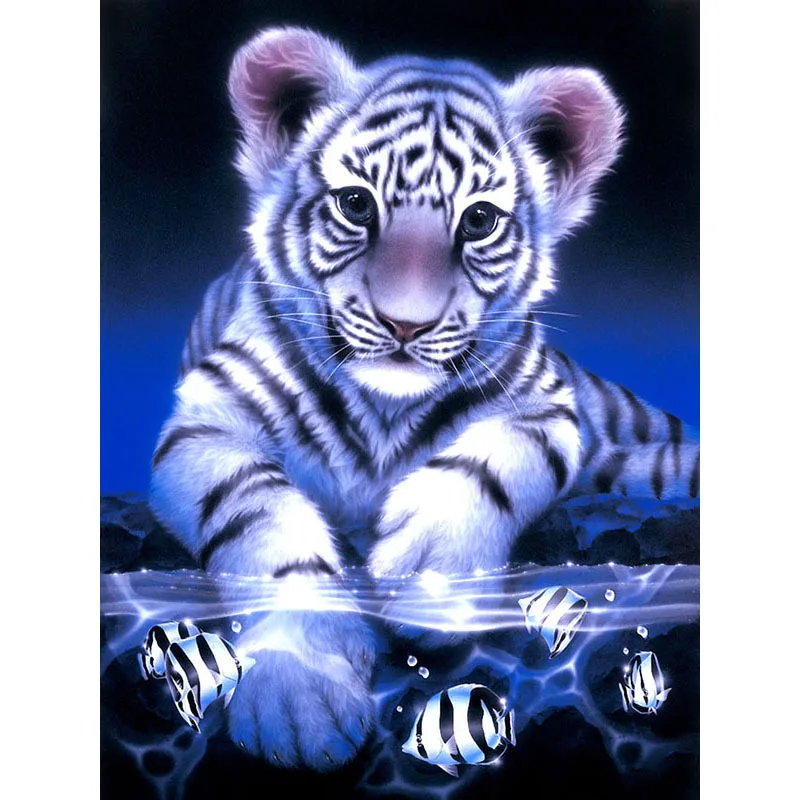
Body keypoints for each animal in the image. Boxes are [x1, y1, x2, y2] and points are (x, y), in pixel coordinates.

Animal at [149, 27, 699, 770]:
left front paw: (432, 578)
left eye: (480, 220)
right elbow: (260, 519)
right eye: (357, 205)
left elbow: (492, 461)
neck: (385, 411)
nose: (405, 324)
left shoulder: (546, 407)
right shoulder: (206, 421)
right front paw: (301, 692)